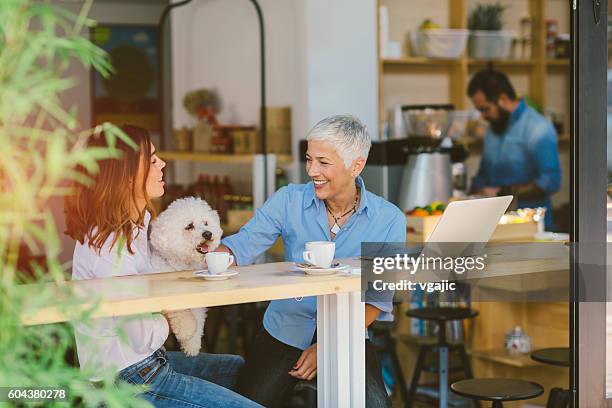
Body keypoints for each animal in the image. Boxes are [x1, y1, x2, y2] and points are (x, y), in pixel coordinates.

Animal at [149, 196, 224, 356]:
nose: (208, 233)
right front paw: (186, 329)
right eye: (189, 226)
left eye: (206, 223)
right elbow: (179, 308)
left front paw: (192, 344)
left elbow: (197, 316)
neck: (182, 265)